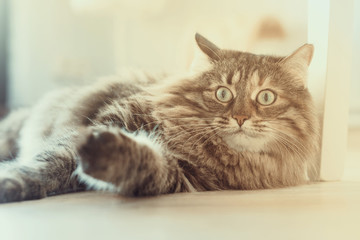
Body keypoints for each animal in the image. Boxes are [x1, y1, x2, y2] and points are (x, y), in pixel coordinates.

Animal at [0, 33, 320, 202]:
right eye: (223, 94)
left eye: (266, 97)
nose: (241, 117)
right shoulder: (111, 118)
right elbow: (49, 164)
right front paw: (12, 181)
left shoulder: (181, 175)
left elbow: (143, 163)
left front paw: (107, 153)